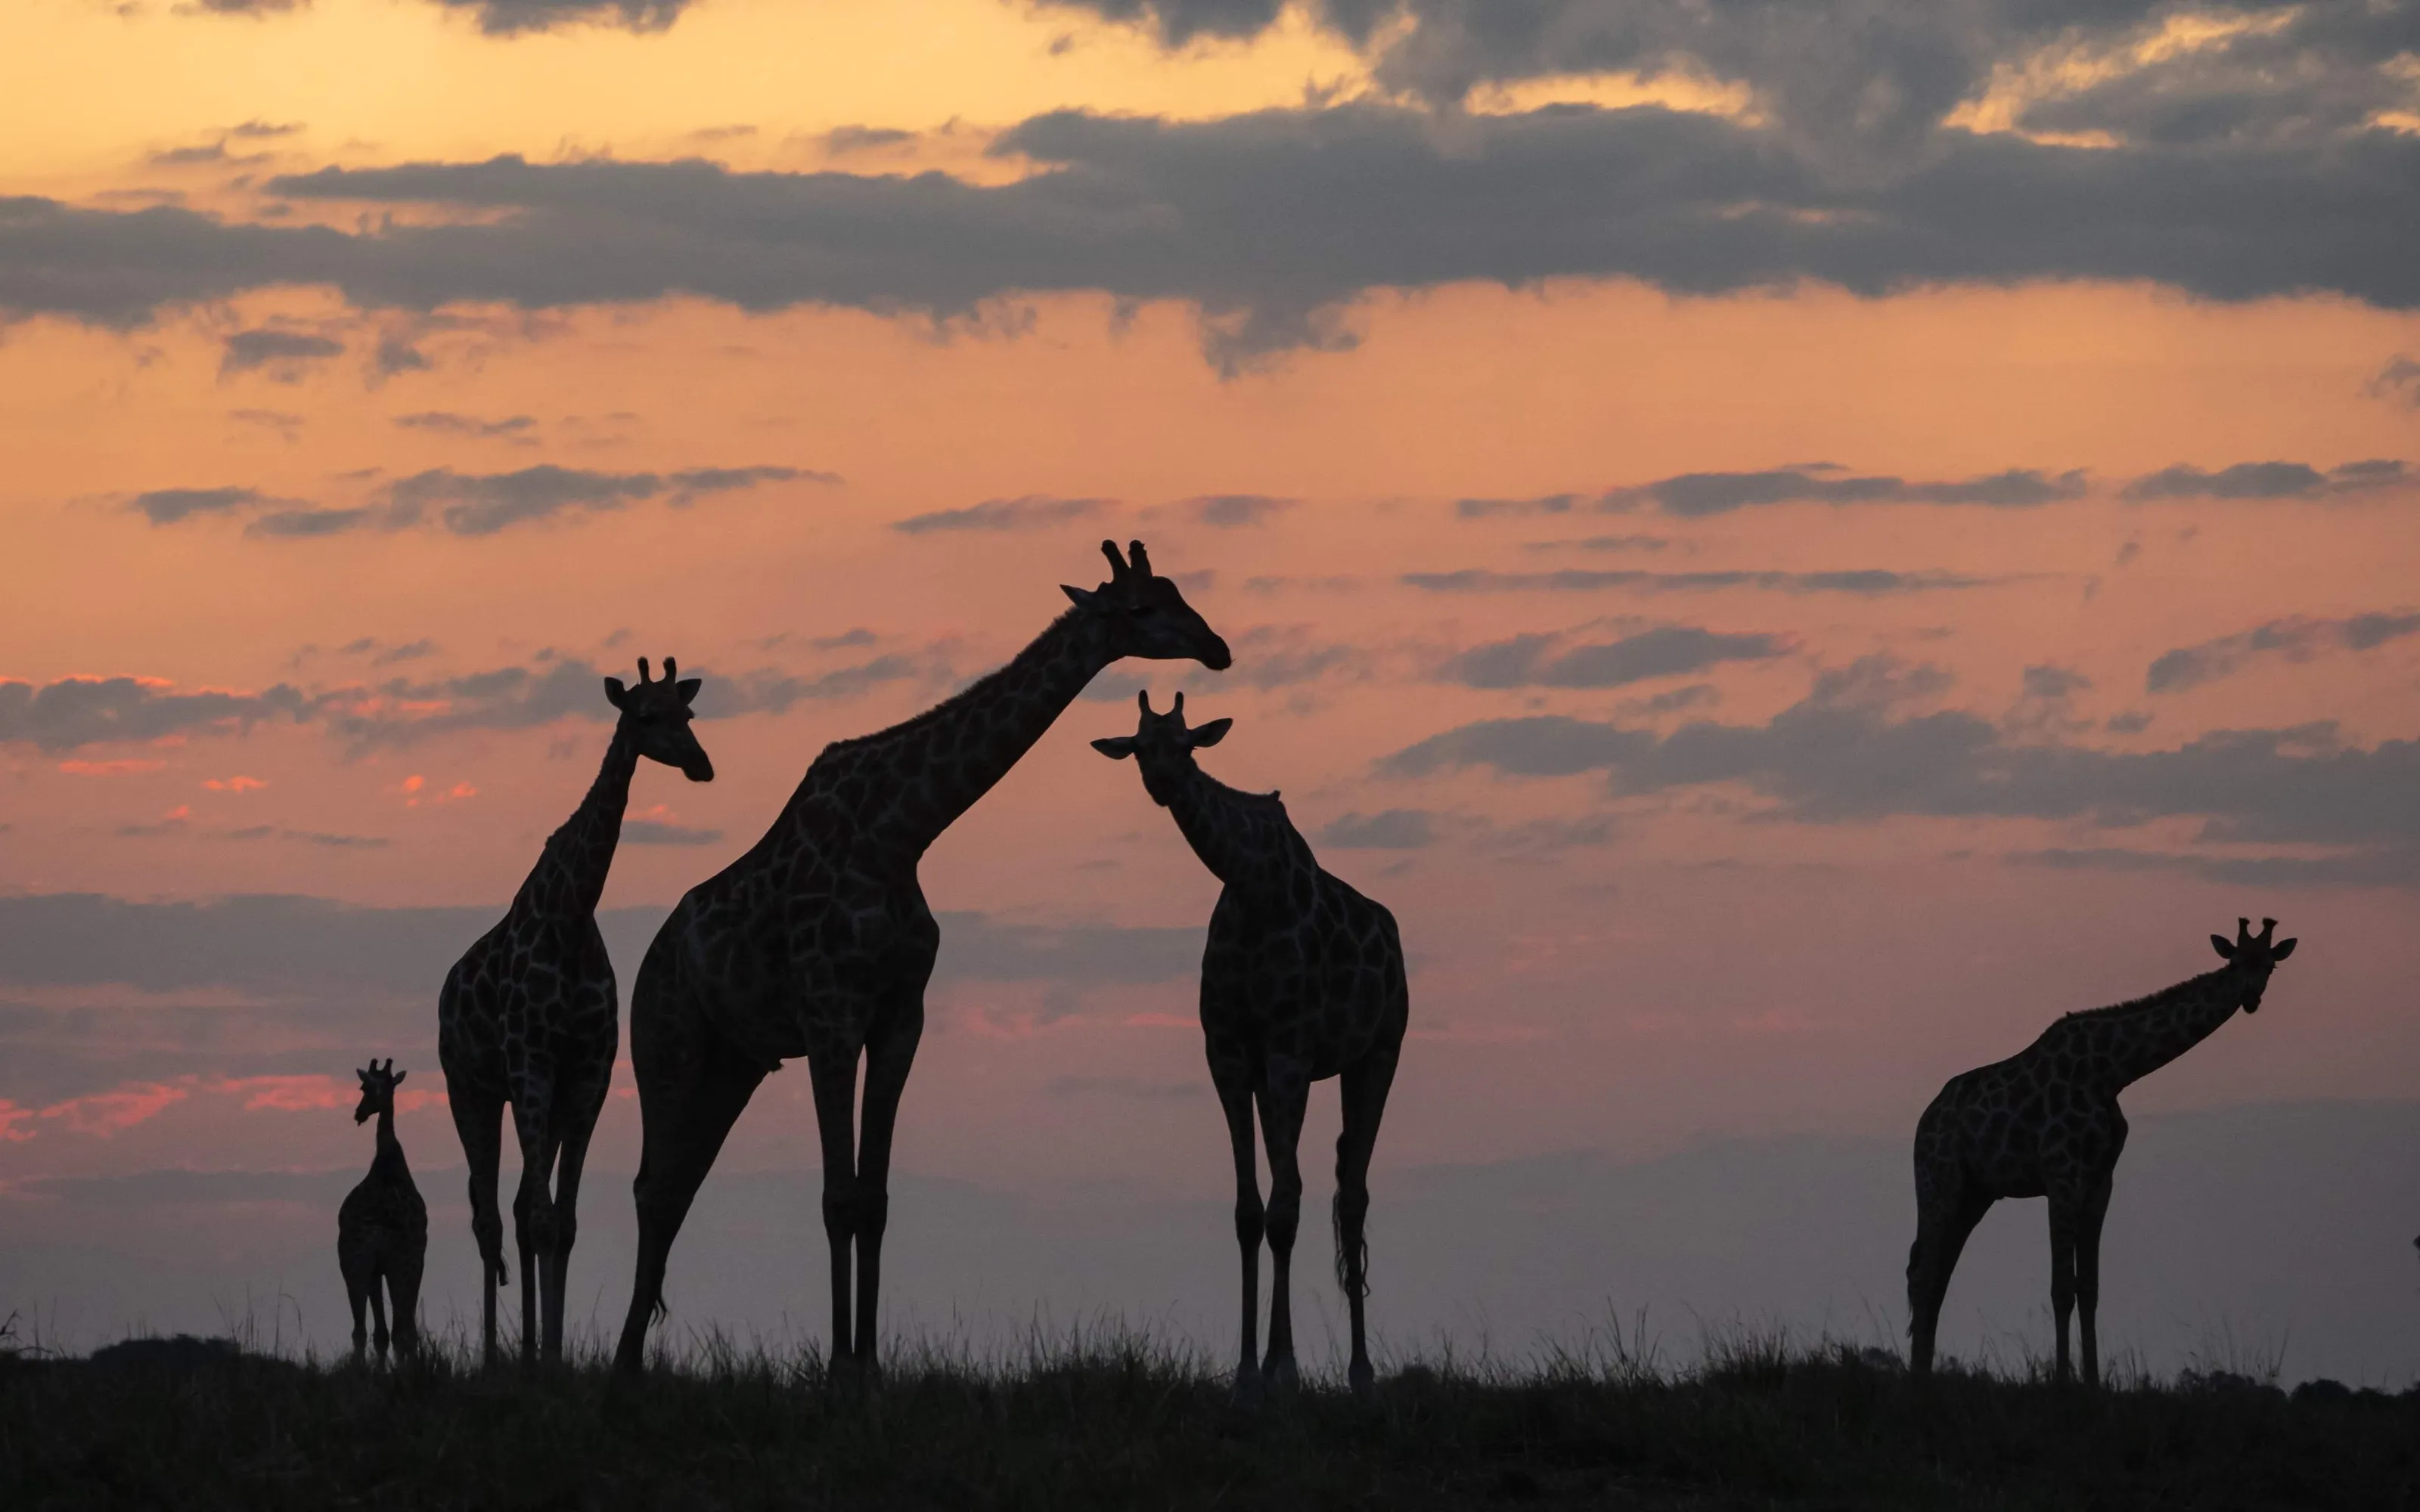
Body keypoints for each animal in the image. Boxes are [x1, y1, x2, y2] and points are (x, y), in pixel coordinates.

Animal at [337, 1059, 427, 1366]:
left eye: (364, 1088)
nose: (359, 1113)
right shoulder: (410, 1260)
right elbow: (399, 1330)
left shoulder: (377, 1265)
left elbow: (382, 1332)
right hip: (395, 1262)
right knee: (398, 1328)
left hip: (356, 1261)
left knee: (363, 1329)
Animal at [439, 656, 715, 1367]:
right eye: (644, 716)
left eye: (688, 713)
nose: (701, 766)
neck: (570, 913)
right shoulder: (532, 1064)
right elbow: (538, 1219)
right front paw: (537, 1361)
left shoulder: (585, 1076)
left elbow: (560, 1223)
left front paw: (555, 1356)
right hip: (471, 1090)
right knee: (487, 1216)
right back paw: (492, 1359)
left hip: (538, 1096)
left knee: (515, 1208)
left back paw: (528, 1351)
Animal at [609, 541, 1230, 1380]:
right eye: (1139, 607)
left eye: (1179, 591)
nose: (1216, 647)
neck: (899, 833)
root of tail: (654, 954)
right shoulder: (831, 1014)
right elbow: (837, 1195)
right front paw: (838, 1368)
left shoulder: (901, 1016)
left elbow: (873, 1198)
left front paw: (869, 1365)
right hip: (666, 1044)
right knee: (651, 1185)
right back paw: (621, 1364)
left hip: (731, 1062)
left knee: (676, 1184)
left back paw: (634, 1358)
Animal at [1091, 691, 1408, 1402]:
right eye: (1140, 747)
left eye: (1186, 746)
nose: (1163, 782)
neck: (1254, 882)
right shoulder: (1231, 1055)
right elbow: (1249, 1210)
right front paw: (1246, 1372)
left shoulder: (1290, 1048)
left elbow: (1286, 1207)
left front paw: (1284, 1369)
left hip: (1379, 1052)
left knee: (1352, 1193)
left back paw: (1362, 1373)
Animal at [1907, 917, 2298, 1386]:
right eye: (2236, 962)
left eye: (2270, 966)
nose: (2251, 998)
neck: (2113, 1071)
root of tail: (1924, 1122)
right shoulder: (2061, 1175)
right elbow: (2061, 1288)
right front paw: (2062, 1381)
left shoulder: (2099, 1181)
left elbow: (2089, 1288)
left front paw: (2093, 1381)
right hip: (1939, 1184)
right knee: (1925, 1274)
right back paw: (1916, 1377)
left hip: (1974, 1195)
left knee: (1935, 1275)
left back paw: (1922, 1371)